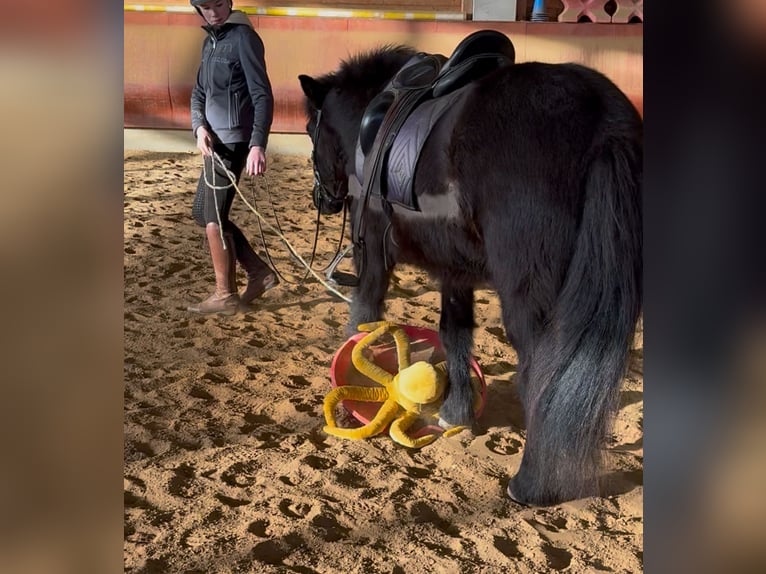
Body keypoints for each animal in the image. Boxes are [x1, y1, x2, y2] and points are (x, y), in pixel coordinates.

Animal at [298, 31, 642, 506]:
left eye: (310, 129)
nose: (323, 199)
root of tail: (603, 120)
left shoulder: (373, 253)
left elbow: (364, 314)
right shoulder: (455, 273)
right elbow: (454, 335)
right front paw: (457, 412)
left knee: (542, 374)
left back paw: (531, 483)